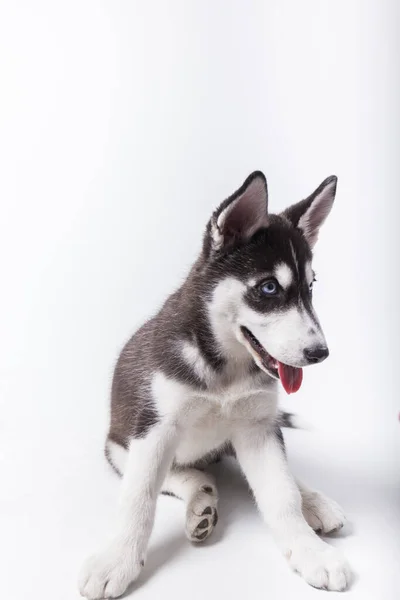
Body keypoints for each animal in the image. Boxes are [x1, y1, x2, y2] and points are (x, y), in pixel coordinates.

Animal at [78, 171, 350, 596]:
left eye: (311, 287)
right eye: (269, 288)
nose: (319, 352)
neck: (226, 370)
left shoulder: (258, 429)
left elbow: (282, 494)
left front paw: (309, 550)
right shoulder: (153, 429)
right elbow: (139, 497)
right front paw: (117, 560)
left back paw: (313, 501)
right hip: (118, 447)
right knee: (180, 475)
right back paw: (201, 500)